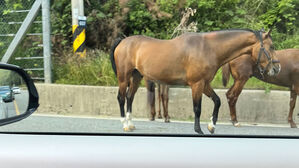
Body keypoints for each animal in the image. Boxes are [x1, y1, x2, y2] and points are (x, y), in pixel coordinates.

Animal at [110, 28, 282, 134]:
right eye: (271, 46)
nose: (277, 68)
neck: (208, 48)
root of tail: (123, 41)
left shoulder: (204, 84)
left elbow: (217, 100)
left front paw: (212, 126)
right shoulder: (197, 84)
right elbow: (197, 108)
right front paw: (199, 130)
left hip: (136, 77)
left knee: (130, 97)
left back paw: (131, 124)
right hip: (123, 77)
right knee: (121, 98)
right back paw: (124, 124)